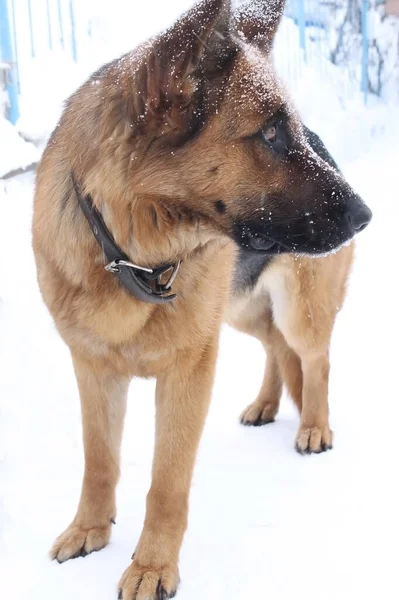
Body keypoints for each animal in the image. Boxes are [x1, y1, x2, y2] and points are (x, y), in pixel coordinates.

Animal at [31, 1, 372, 600]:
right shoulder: (93, 368)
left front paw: (151, 567)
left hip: (296, 311)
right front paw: (89, 529)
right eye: (271, 134)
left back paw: (314, 425)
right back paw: (267, 404)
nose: (365, 214)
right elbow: (99, 459)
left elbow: (166, 483)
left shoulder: (190, 371)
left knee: (314, 358)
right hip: (237, 311)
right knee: (275, 347)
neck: (133, 255)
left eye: (288, 130)